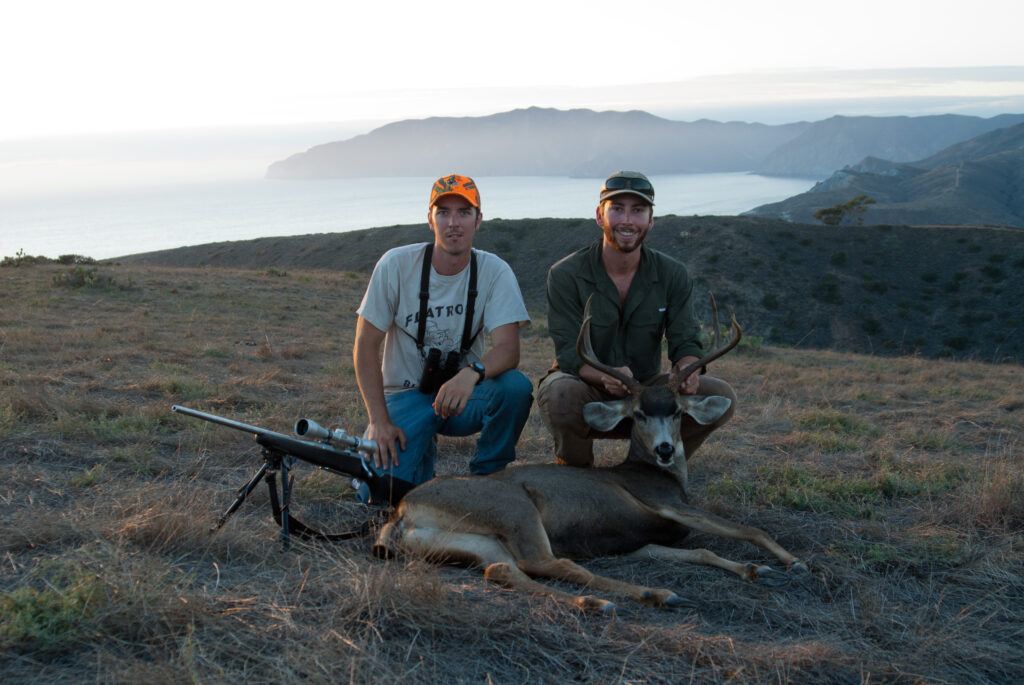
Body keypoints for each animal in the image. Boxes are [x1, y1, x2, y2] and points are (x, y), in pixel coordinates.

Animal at [370, 296, 806, 610]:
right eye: (639, 413)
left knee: (504, 570)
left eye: (679, 412)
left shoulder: (640, 540)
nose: (665, 449)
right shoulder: (664, 502)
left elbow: (699, 549)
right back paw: (647, 595)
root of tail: (401, 512)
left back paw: (610, 599)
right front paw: (793, 562)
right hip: (515, 509)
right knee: (548, 562)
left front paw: (753, 568)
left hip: (464, 541)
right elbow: (747, 529)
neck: (658, 475)